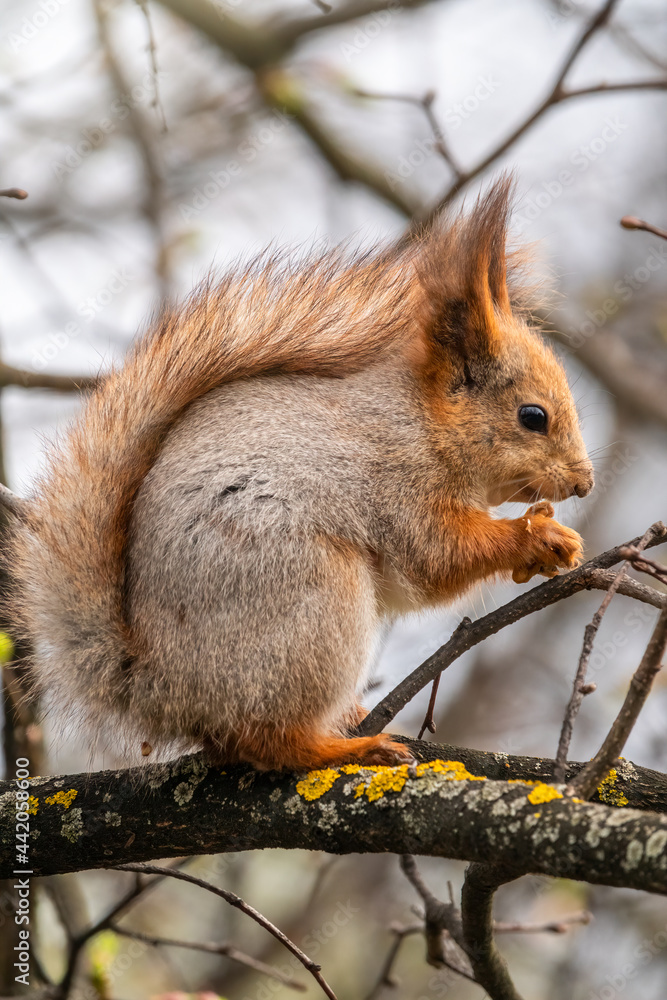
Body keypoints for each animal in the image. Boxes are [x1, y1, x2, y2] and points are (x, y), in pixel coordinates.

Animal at [2, 178, 593, 771]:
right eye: (533, 416)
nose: (583, 483)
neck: (425, 421)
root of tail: (162, 687)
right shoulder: (397, 481)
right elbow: (435, 556)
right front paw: (537, 535)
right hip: (312, 599)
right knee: (265, 738)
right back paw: (348, 746)